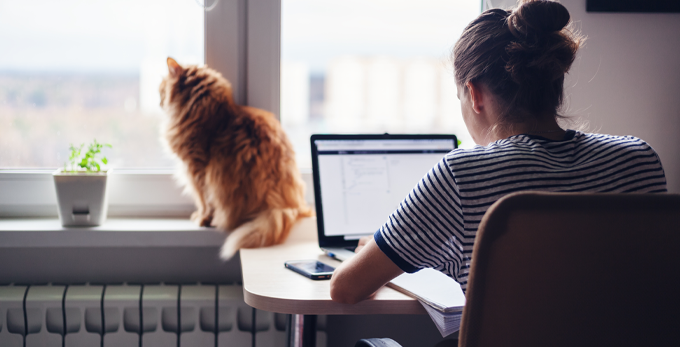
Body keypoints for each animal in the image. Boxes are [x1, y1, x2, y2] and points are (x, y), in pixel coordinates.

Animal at [159, 57, 314, 260]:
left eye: (161, 89)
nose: (159, 101)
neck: (210, 112)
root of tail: (286, 205)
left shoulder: (197, 169)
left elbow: (203, 200)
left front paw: (202, 218)